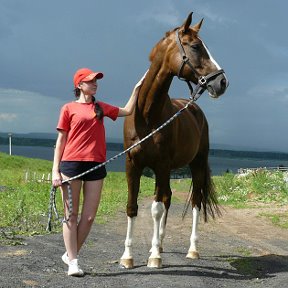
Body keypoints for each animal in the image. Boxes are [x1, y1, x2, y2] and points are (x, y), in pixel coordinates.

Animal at [119, 12, 227, 268]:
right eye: (196, 46)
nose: (222, 83)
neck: (147, 115)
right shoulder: (132, 165)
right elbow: (132, 206)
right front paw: (128, 256)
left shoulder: (162, 166)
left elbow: (157, 208)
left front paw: (155, 257)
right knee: (168, 198)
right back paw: (158, 243)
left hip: (197, 165)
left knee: (196, 201)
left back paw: (191, 249)